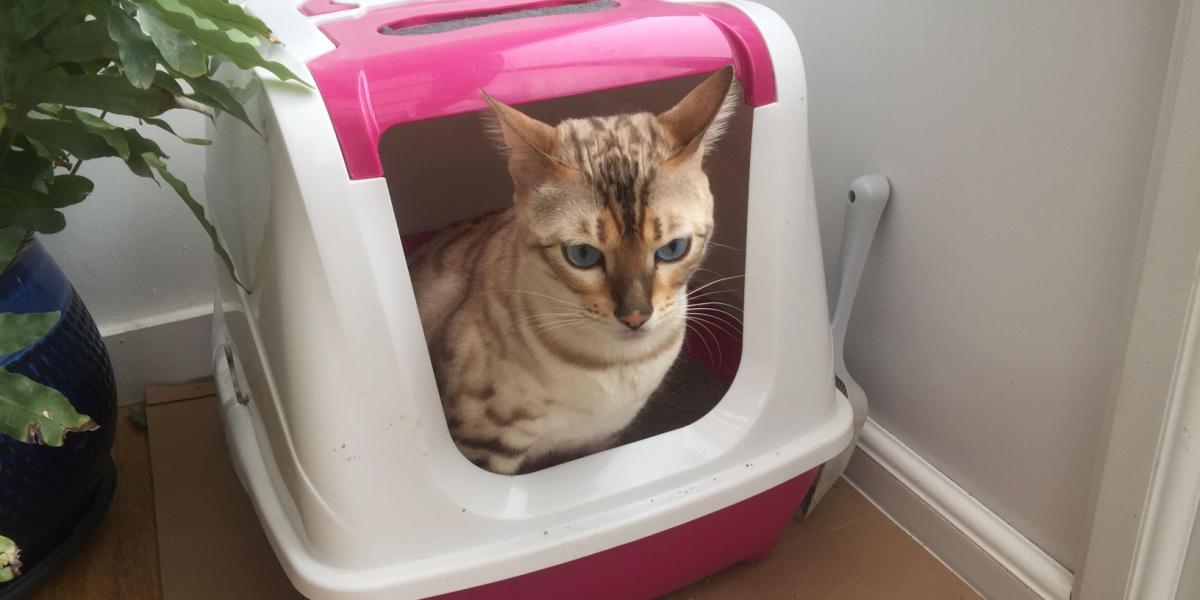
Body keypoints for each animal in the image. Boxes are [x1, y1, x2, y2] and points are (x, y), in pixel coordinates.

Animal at [408, 68, 734, 472]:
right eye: (582, 255)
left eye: (673, 249)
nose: (636, 316)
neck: (611, 367)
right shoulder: (483, 446)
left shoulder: (603, 438)